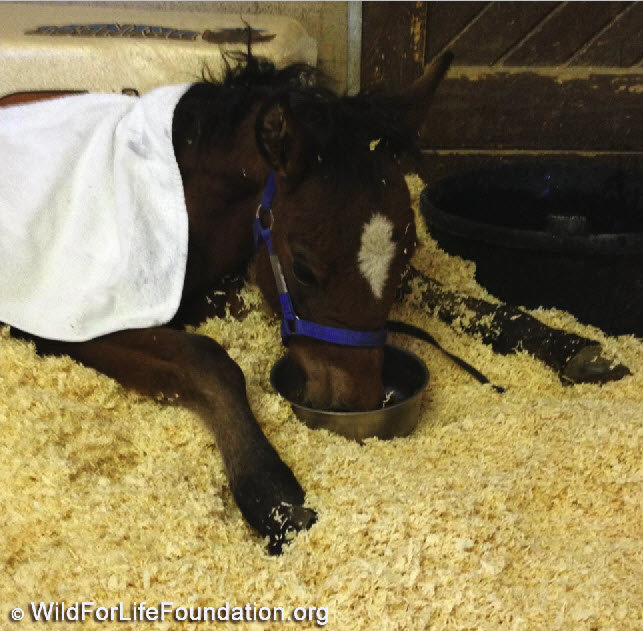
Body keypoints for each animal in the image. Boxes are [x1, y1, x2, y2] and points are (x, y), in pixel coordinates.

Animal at [0, 49, 452, 553]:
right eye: (303, 268)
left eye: (409, 254)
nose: (355, 405)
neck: (187, 203)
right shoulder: (74, 317)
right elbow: (205, 359)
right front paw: (274, 497)